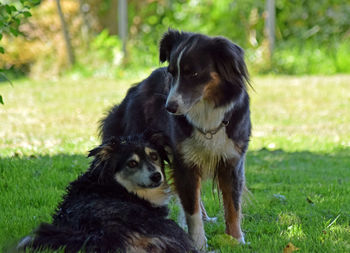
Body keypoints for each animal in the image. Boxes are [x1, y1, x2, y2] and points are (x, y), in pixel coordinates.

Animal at [101, 28, 252, 248]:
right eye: (171, 73)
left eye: (194, 74)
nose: (169, 107)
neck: (207, 114)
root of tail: (137, 86)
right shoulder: (185, 162)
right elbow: (191, 208)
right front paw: (198, 243)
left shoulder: (232, 161)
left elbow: (233, 205)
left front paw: (236, 240)